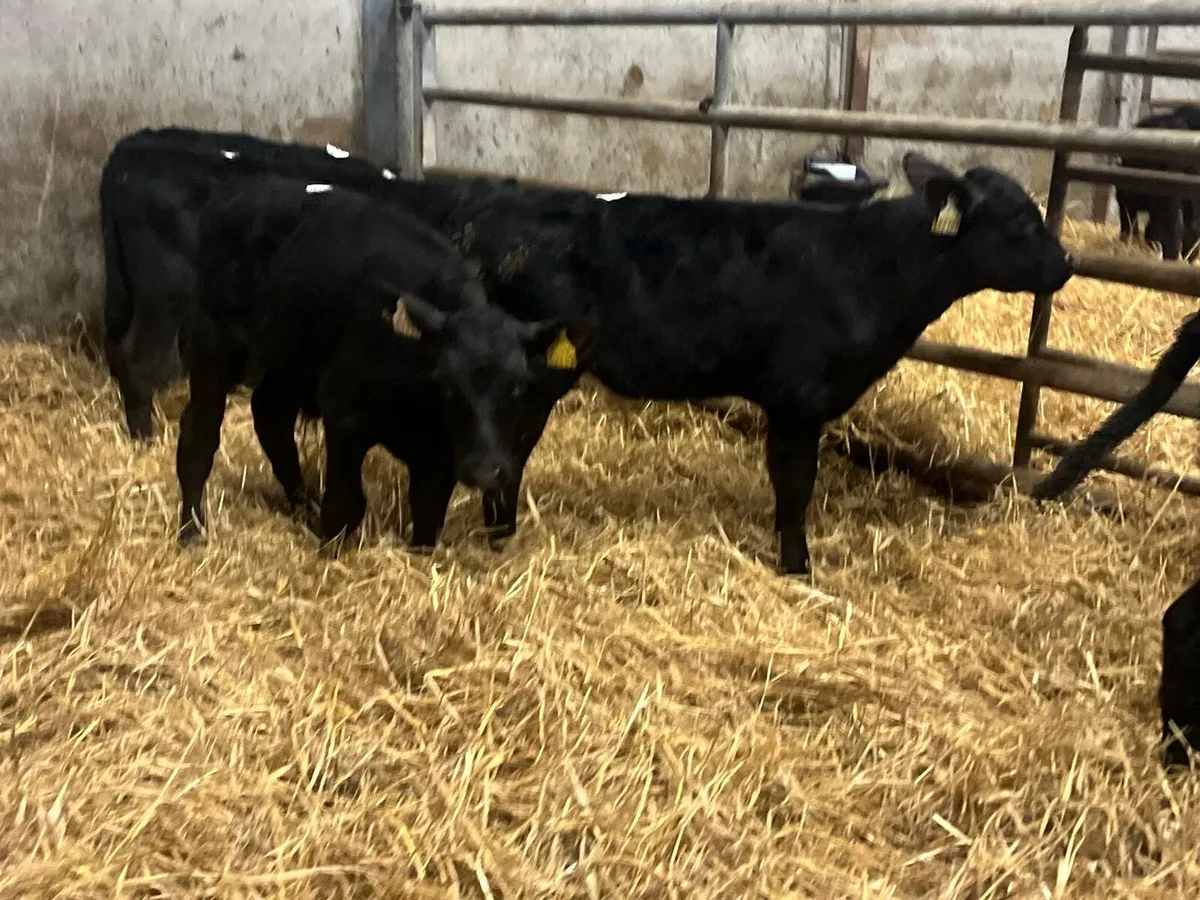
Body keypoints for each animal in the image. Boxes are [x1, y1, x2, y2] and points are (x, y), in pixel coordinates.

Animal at [177, 173, 593, 550]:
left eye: (519, 386)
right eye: (448, 386)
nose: (485, 470)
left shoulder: (440, 455)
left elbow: (426, 518)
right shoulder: (343, 412)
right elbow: (345, 505)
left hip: (289, 362)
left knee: (270, 417)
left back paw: (303, 508)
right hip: (213, 345)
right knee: (199, 438)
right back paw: (192, 532)